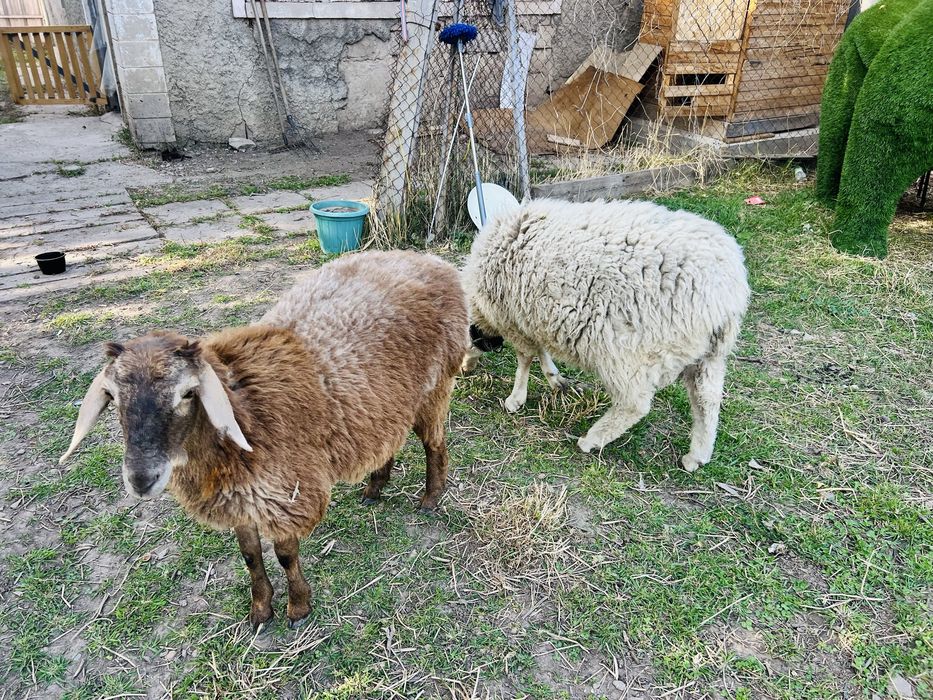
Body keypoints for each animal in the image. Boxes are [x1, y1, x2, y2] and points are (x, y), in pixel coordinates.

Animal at [59, 251, 469, 629]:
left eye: (188, 393)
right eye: (112, 396)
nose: (141, 480)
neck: (242, 414)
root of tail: (431, 261)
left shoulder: (286, 496)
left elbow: (285, 555)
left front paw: (298, 607)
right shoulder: (241, 500)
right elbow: (250, 556)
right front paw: (260, 609)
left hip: (434, 387)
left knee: (435, 445)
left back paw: (430, 499)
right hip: (386, 404)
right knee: (388, 443)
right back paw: (374, 488)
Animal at [461, 197, 750, 471]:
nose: (464, 370)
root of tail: (726, 293)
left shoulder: (513, 318)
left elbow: (525, 357)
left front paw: (515, 399)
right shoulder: (530, 319)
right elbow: (541, 352)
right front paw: (555, 379)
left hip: (629, 352)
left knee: (636, 404)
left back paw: (591, 439)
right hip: (709, 355)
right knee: (707, 401)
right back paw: (697, 457)